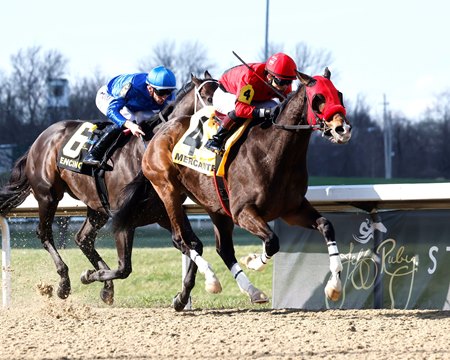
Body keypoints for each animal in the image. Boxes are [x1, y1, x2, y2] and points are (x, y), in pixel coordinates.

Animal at [0, 71, 218, 306]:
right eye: (208, 97)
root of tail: (39, 140)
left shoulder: (163, 213)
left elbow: (193, 244)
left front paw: (182, 297)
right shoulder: (124, 220)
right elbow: (124, 268)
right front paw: (88, 276)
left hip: (96, 207)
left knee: (83, 239)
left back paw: (105, 287)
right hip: (47, 196)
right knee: (45, 233)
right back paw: (64, 283)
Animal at [131, 67, 352, 304]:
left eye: (338, 95)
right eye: (317, 98)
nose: (343, 129)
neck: (273, 152)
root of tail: (162, 130)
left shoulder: (292, 210)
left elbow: (326, 225)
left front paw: (334, 286)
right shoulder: (242, 211)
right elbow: (272, 241)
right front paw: (253, 260)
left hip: (215, 205)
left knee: (223, 249)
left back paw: (236, 292)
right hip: (168, 190)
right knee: (181, 239)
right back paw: (211, 280)